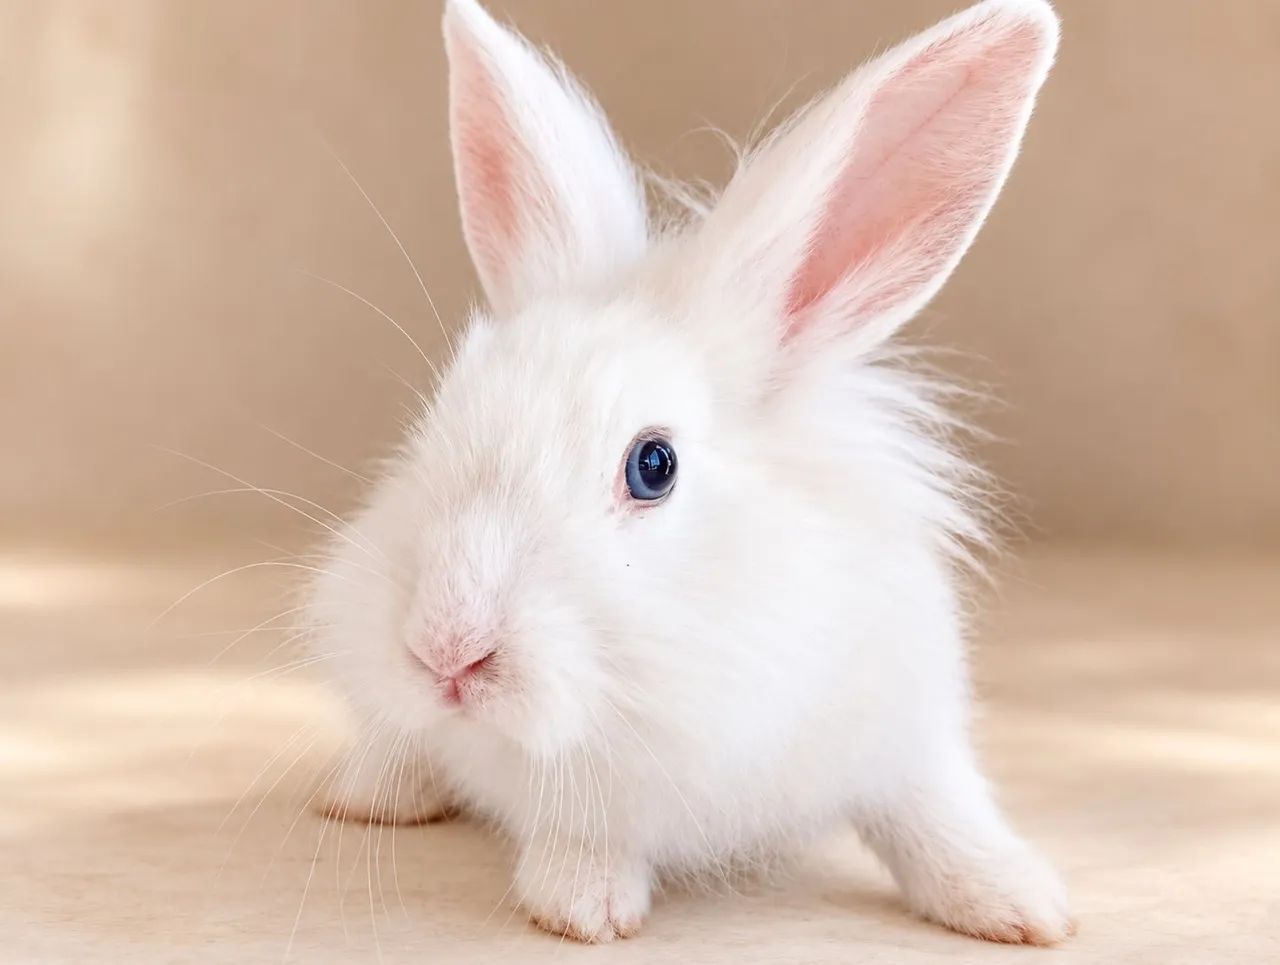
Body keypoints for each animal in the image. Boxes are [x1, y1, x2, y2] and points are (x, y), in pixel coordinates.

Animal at [306, 0, 1070, 946]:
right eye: (441, 416)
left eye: (654, 465)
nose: (446, 649)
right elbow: (584, 834)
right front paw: (583, 906)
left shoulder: (905, 726)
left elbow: (935, 816)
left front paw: (1020, 903)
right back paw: (367, 796)